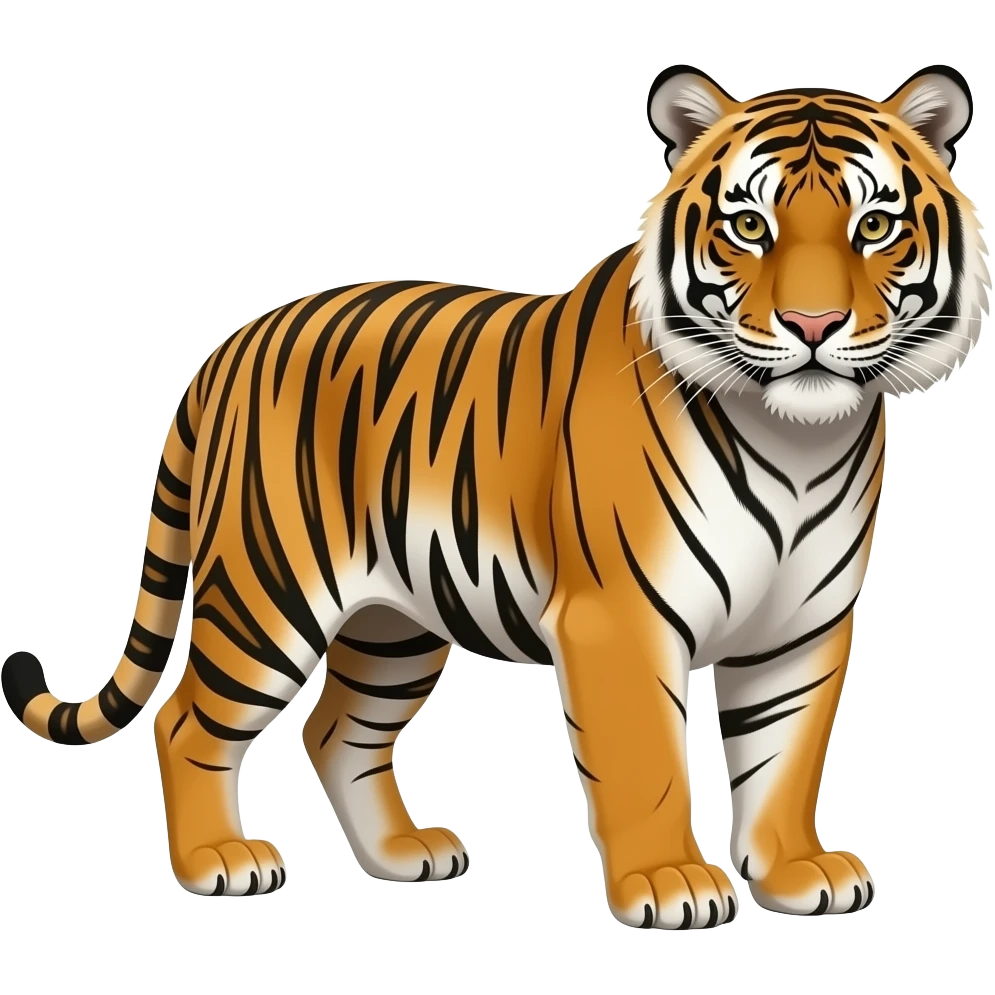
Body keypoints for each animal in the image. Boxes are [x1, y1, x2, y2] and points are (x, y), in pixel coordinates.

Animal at [1, 63, 988, 929]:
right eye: (748, 225)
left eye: (872, 226)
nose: (813, 325)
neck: (796, 440)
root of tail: (228, 346)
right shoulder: (621, 619)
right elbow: (648, 761)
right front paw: (668, 883)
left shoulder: (802, 626)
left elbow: (785, 756)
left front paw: (792, 871)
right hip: (265, 594)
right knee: (183, 721)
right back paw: (218, 861)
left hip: (393, 622)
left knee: (337, 729)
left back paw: (403, 855)